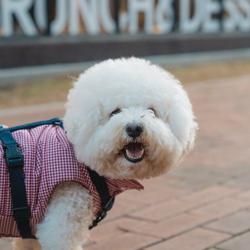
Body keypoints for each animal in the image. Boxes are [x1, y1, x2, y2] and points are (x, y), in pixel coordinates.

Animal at [0, 57, 197, 249]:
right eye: (115, 112)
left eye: (152, 111)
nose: (134, 128)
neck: (83, 161)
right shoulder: (61, 222)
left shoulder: (33, 230)